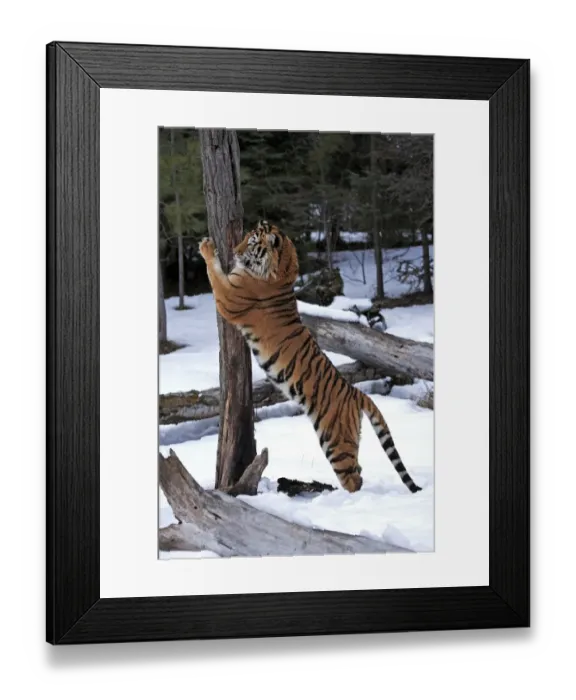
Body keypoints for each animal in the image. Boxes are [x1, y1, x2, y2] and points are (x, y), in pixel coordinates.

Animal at [198, 221, 422, 495]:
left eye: (251, 242)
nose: (234, 250)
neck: (282, 269)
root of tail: (356, 393)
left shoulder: (229, 297)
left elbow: (214, 273)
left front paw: (206, 246)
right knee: (358, 472)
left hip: (336, 442)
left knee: (353, 479)